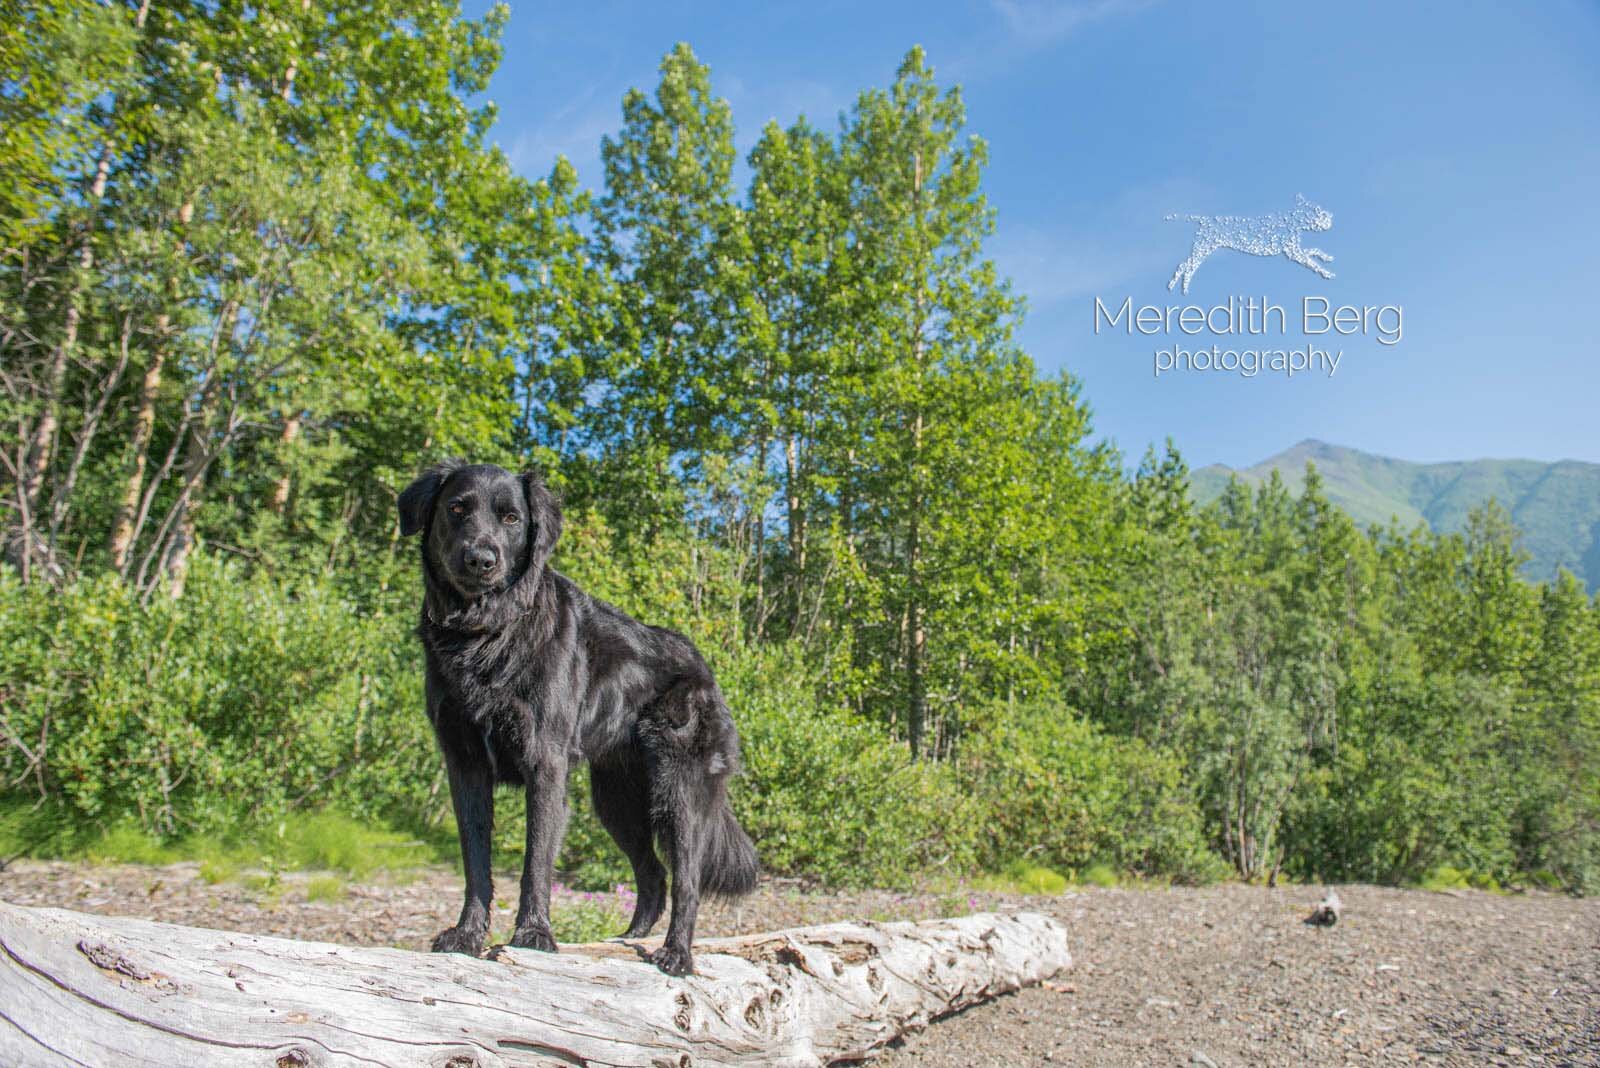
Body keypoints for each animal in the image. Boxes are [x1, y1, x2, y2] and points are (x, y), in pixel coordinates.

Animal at [393, 460, 755, 978]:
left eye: (511, 518)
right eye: (457, 509)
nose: (481, 559)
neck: (485, 635)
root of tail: (703, 667)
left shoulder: (545, 766)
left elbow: (536, 863)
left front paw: (533, 936)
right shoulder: (465, 768)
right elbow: (475, 864)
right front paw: (466, 935)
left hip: (679, 795)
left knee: (687, 880)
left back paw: (676, 955)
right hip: (617, 803)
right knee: (653, 875)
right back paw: (624, 941)